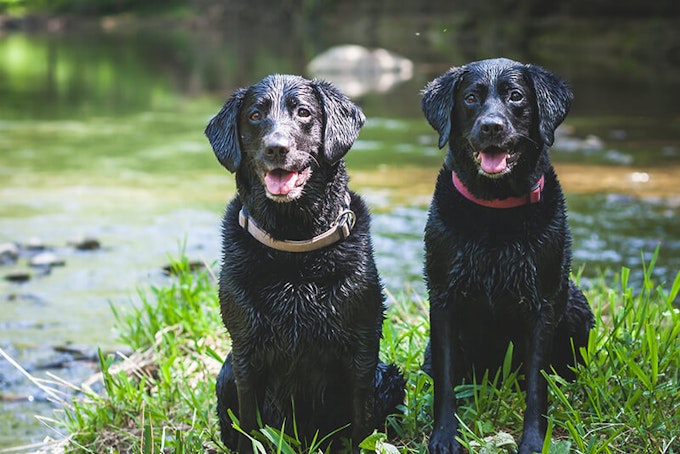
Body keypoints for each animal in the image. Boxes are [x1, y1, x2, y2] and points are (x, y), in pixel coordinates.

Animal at [202, 75, 404, 454]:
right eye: (255, 115)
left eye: (304, 113)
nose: (276, 148)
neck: (294, 247)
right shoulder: (246, 354)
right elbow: (250, 429)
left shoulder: (362, 350)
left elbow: (362, 427)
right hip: (226, 375)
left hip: (390, 377)